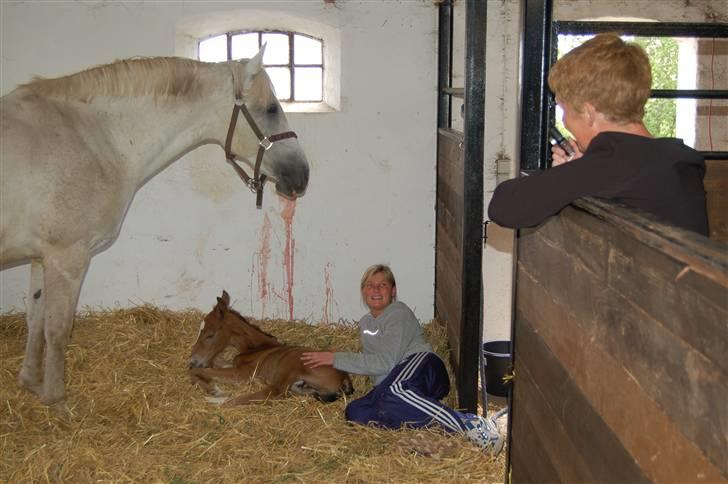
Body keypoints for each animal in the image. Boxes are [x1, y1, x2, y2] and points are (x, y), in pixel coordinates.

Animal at [0, 47, 310, 406]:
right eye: (271, 108)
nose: (302, 174)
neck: (91, 138)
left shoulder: (41, 257)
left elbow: (35, 319)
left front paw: (31, 384)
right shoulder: (67, 258)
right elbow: (57, 330)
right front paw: (56, 401)